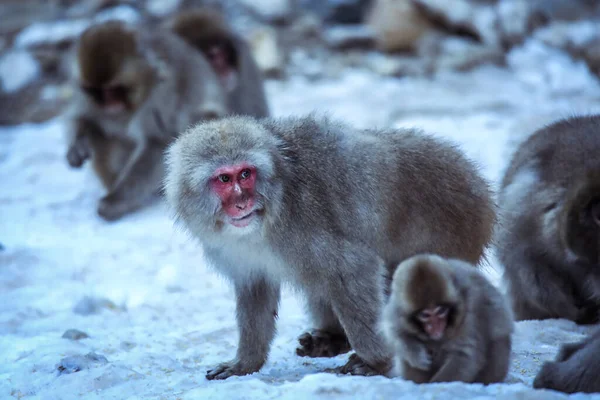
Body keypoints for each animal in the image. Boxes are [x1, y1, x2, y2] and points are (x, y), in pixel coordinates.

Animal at [65, 19, 225, 222]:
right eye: (96, 91)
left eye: (113, 90)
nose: (109, 105)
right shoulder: (86, 96)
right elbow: (83, 116)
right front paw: (76, 147)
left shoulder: (161, 93)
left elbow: (158, 142)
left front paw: (114, 201)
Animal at [165, 114, 496, 380]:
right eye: (224, 178)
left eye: (246, 174)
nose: (242, 202)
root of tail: (478, 185)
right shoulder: (236, 252)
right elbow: (256, 290)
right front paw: (245, 363)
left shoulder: (301, 222)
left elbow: (352, 268)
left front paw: (378, 361)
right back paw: (332, 339)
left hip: (455, 231)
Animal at [382, 255, 512, 382]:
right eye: (425, 315)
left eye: (441, 311)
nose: (436, 327)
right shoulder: (397, 309)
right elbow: (396, 333)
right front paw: (418, 356)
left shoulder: (469, 314)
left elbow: (465, 354)